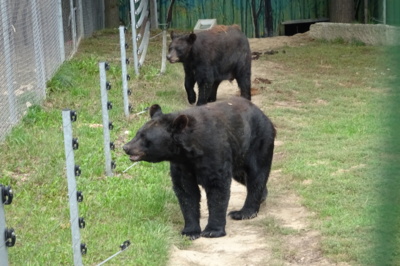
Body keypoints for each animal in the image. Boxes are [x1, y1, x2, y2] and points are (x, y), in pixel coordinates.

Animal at [124, 96, 276, 240]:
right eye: (138, 133)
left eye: (145, 138)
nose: (126, 147)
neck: (189, 152)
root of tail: (263, 115)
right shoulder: (182, 165)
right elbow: (186, 192)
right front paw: (190, 231)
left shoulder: (214, 153)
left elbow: (217, 189)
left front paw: (212, 230)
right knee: (244, 176)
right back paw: (262, 196)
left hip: (258, 142)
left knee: (256, 174)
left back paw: (244, 212)